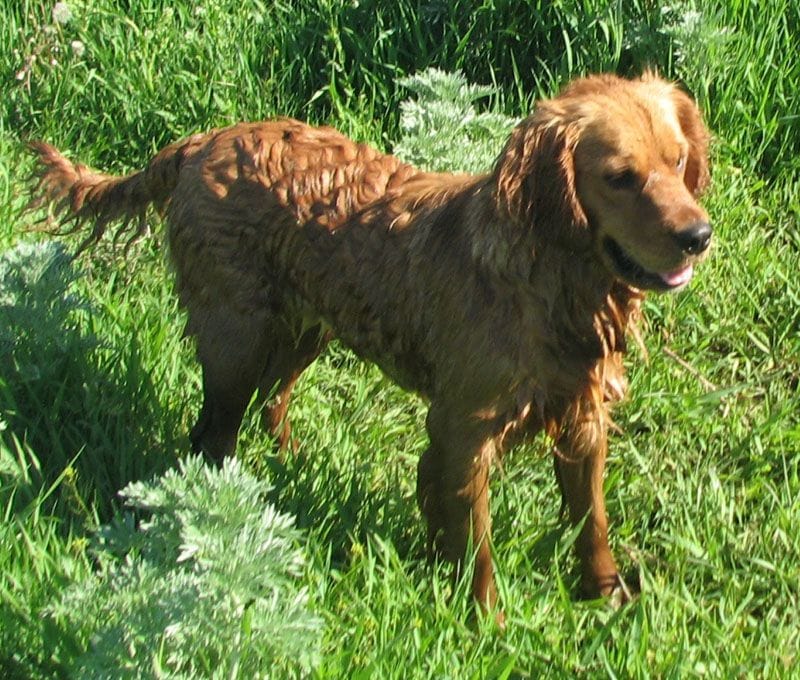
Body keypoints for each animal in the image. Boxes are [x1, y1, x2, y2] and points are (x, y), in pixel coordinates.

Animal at [28, 73, 708, 616]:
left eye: (678, 162)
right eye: (619, 178)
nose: (698, 235)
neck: (550, 282)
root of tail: (202, 142)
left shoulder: (583, 414)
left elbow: (591, 521)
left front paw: (607, 595)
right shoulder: (464, 428)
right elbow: (477, 547)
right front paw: (486, 621)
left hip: (306, 329)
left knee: (272, 402)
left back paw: (288, 464)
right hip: (234, 341)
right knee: (211, 436)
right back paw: (221, 509)